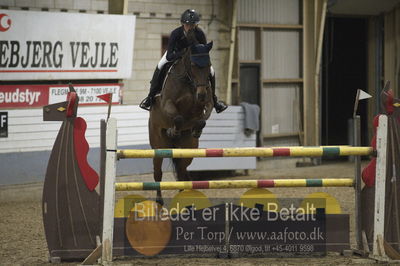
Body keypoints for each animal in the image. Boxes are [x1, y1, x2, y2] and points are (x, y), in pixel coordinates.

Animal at [148, 29, 216, 204]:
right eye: (193, 65)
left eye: (208, 66)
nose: (201, 94)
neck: (188, 81)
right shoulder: (168, 103)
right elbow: (177, 118)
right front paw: (174, 131)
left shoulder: (206, 104)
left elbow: (201, 119)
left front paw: (196, 130)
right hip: (158, 147)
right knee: (157, 173)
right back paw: (159, 201)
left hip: (188, 150)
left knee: (182, 172)